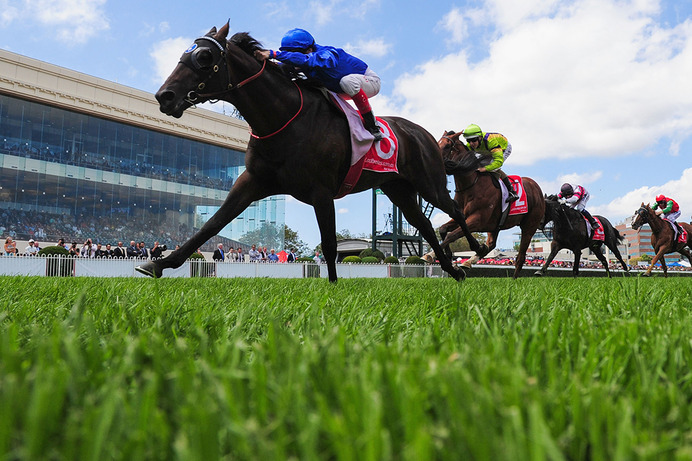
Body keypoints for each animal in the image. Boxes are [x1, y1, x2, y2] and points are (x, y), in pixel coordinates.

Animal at [138, 23, 478, 282]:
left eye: (204, 56)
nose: (164, 96)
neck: (284, 118)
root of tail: (423, 133)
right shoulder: (252, 181)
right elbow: (212, 224)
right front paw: (159, 263)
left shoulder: (321, 190)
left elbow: (329, 244)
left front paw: (333, 285)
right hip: (398, 189)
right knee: (424, 225)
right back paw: (454, 271)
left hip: (428, 183)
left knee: (454, 211)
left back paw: (475, 249)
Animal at [428, 131, 548, 278]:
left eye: (446, 146)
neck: (471, 186)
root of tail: (537, 189)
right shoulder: (462, 216)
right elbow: (443, 229)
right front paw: (438, 255)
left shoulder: (478, 220)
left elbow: (452, 235)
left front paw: (430, 255)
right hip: (495, 225)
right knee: (491, 244)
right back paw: (470, 260)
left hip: (529, 226)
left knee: (520, 257)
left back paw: (513, 279)